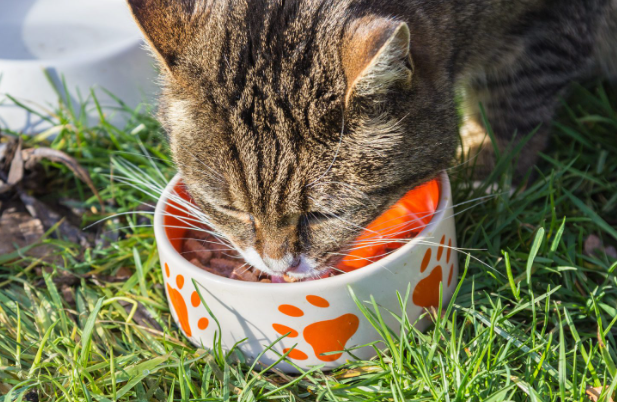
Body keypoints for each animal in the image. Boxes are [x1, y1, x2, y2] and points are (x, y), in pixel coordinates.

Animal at [126, 0, 616, 280]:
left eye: (325, 214)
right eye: (230, 209)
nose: (278, 266)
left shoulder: (549, 26)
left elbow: (515, 98)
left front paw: (491, 170)